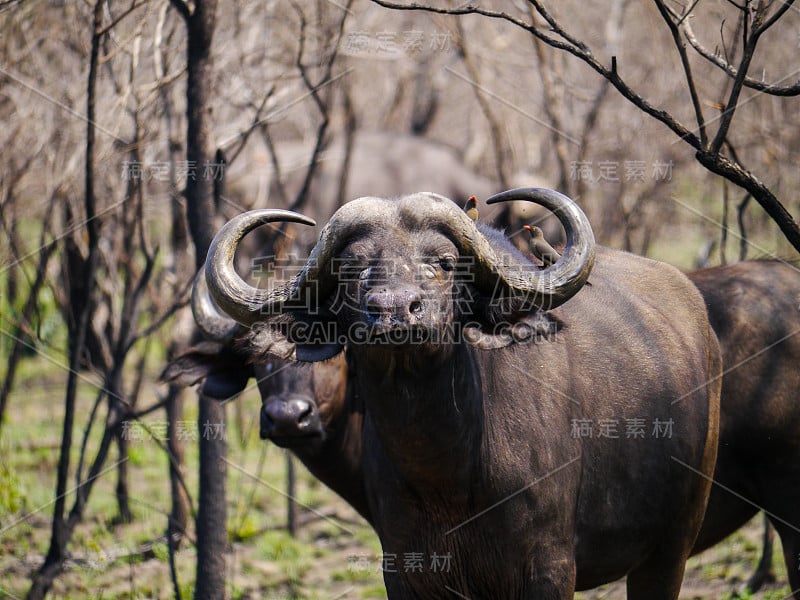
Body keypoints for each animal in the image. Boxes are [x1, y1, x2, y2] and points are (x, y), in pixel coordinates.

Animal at [202, 189, 724, 600]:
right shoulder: (407, 572)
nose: (395, 311)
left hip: (672, 546)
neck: (447, 475)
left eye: (444, 263)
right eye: (352, 267)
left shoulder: (550, 569)